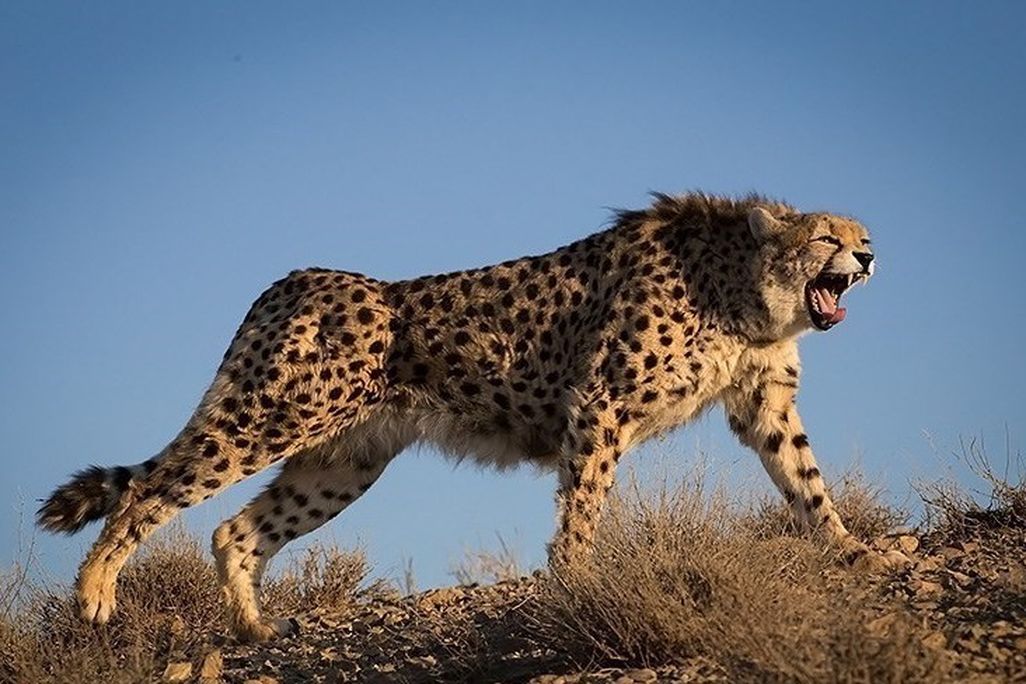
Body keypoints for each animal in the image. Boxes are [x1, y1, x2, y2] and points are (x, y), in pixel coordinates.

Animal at [38, 191, 908, 642]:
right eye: (825, 238)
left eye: (862, 236)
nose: (869, 259)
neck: (740, 289)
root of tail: (299, 279)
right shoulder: (599, 404)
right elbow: (584, 505)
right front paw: (576, 579)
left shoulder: (763, 404)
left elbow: (806, 480)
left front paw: (852, 550)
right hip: (272, 416)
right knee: (149, 491)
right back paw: (95, 595)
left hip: (343, 461)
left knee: (236, 529)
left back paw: (253, 629)